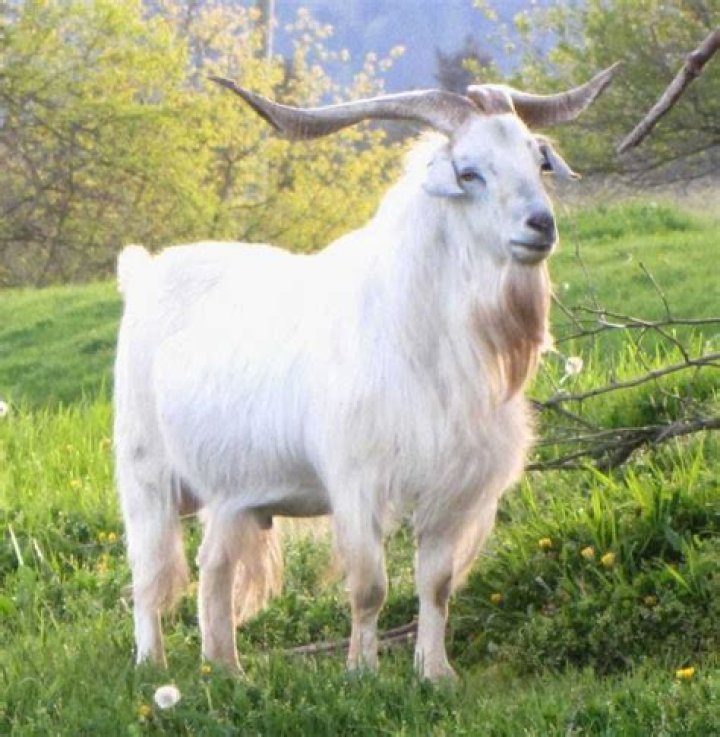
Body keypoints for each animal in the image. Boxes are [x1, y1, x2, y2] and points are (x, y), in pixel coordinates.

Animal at [114, 64, 619, 680]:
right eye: (469, 172)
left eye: (538, 162)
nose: (540, 225)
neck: (422, 334)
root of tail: (143, 273)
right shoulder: (358, 480)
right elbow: (370, 587)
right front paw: (362, 673)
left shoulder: (452, 487)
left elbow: (437, 584)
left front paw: (436, 674)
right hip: (145, 473)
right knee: (149, 576)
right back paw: (151, 665)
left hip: (236, 493)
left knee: (214, 565)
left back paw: (228, 669)